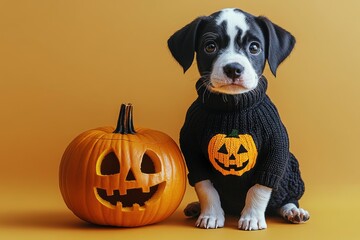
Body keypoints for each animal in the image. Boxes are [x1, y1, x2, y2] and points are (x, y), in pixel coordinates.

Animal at [168, 7, 310, 231]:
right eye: (210, 46)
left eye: (254, 47)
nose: (233, 68)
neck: (232, 107)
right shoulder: (192, 151)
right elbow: (205, 187)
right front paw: (210, 214)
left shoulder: (275, 150)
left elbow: (259, 188)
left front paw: (252, 217)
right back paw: (195, 207)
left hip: (289, 171)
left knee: (287, 199)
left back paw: (293, 211)